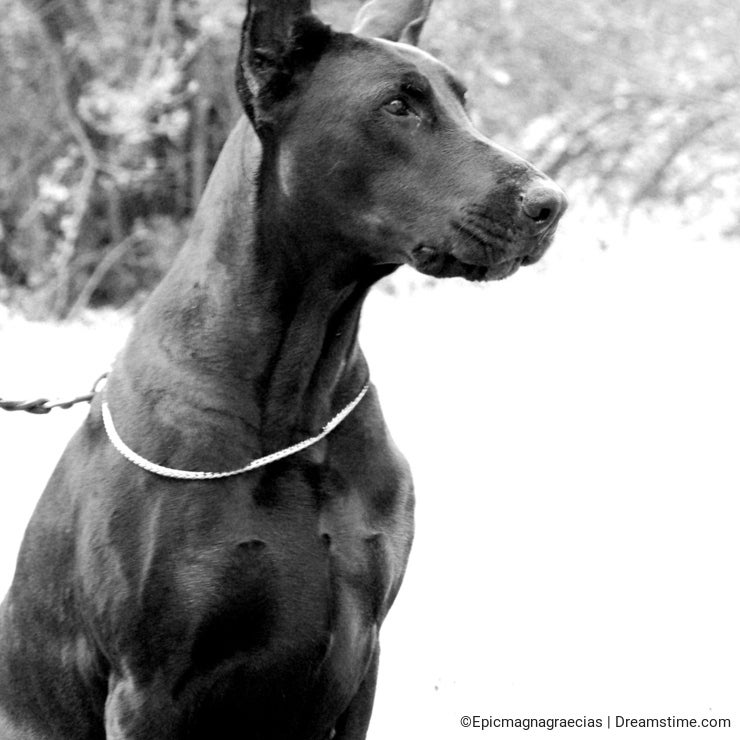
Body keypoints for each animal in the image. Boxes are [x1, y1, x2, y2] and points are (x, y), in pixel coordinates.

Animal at [1, 2, 568, 736]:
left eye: (462, 102)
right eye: (398, 106)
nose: (550, 204)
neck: (297, 397)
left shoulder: (363, 653)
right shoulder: (145, 684)